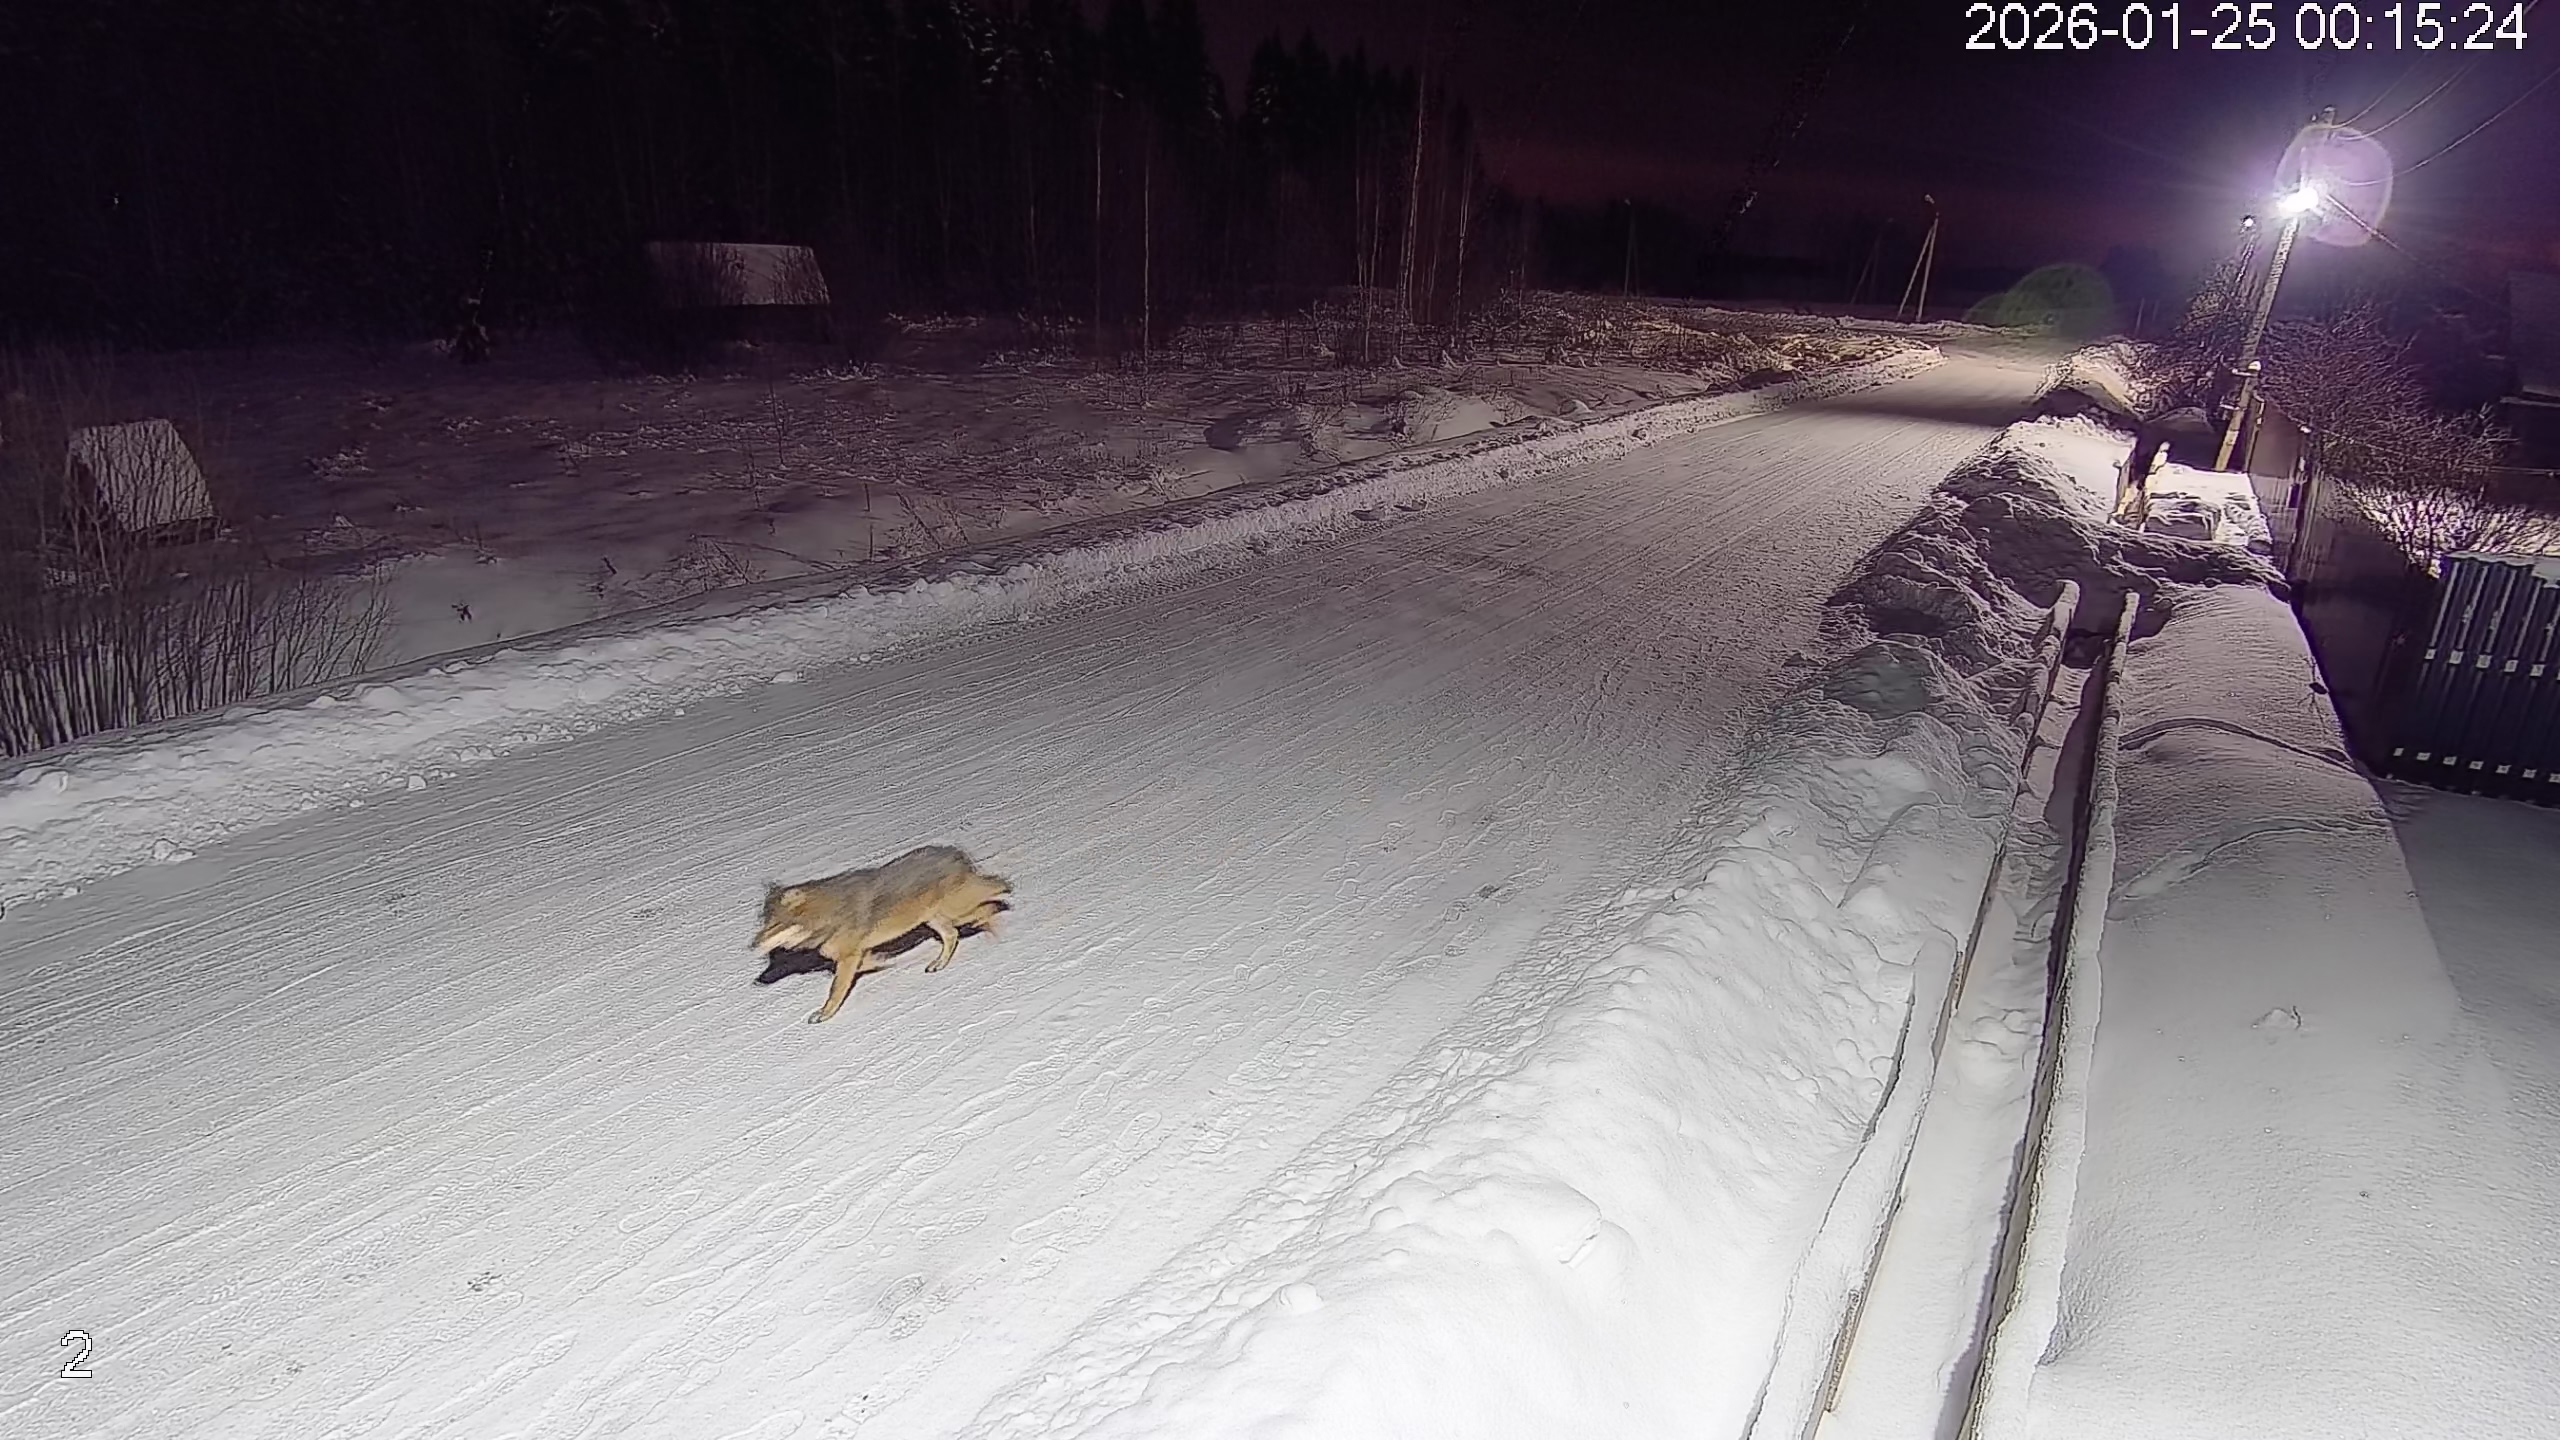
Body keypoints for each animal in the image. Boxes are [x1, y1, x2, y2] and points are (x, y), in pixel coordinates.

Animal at [752, 845, 1012, 1025]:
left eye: (773, 927)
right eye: (762, 925)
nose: (751, 946)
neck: (827, 914)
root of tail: (956, 853)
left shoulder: (848, 958)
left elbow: (836, 990)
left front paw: (824, 1014)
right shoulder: (853, 955)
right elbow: (868, 962)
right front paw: (882, 961)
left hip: (956, 910)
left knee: (996, 890)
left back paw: (996, 914)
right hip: (936, 918)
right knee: (954, 934)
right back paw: (939, 963)